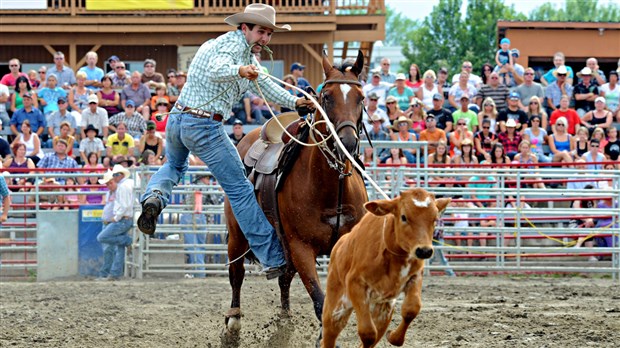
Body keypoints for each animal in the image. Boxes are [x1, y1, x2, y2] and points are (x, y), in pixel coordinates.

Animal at [223, 51, 368, 338]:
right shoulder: (301, 247)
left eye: (361, 98)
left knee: (284, 279)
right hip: (238, 234)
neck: (331, 188)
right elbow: (320, 301)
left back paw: (285, 321)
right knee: (237, 272)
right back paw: (234, 320)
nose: (347, 143)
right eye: (327, 96)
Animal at [322, 189, 448, 346]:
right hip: (336, 308)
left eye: (435, 219)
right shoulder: (355, 284)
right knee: (330, 333)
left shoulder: (415, 277)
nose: (424, 251)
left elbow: (411, 309)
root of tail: (338, 246)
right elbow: (368, 333)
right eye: (404, 217)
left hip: (382, 312)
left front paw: (394, 337)